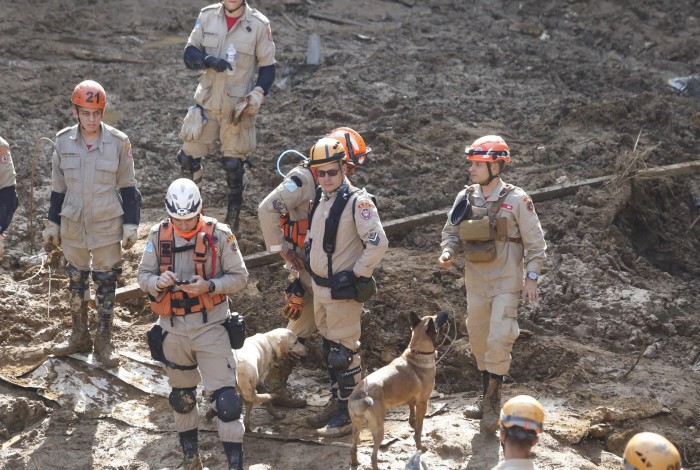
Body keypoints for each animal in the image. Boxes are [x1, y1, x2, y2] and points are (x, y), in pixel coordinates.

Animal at [348, 312, 446, 470]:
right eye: (436, 319)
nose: (445, 313)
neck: (418, 352)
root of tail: (359, 394)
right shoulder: (423, 403)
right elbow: (419, 429)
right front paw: (420, 446)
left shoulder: (412, 400)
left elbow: (412, 415)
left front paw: (412, 422)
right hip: (378, 429)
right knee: (372, 456)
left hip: (356, 426)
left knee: (353, 448)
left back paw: (355, 462)